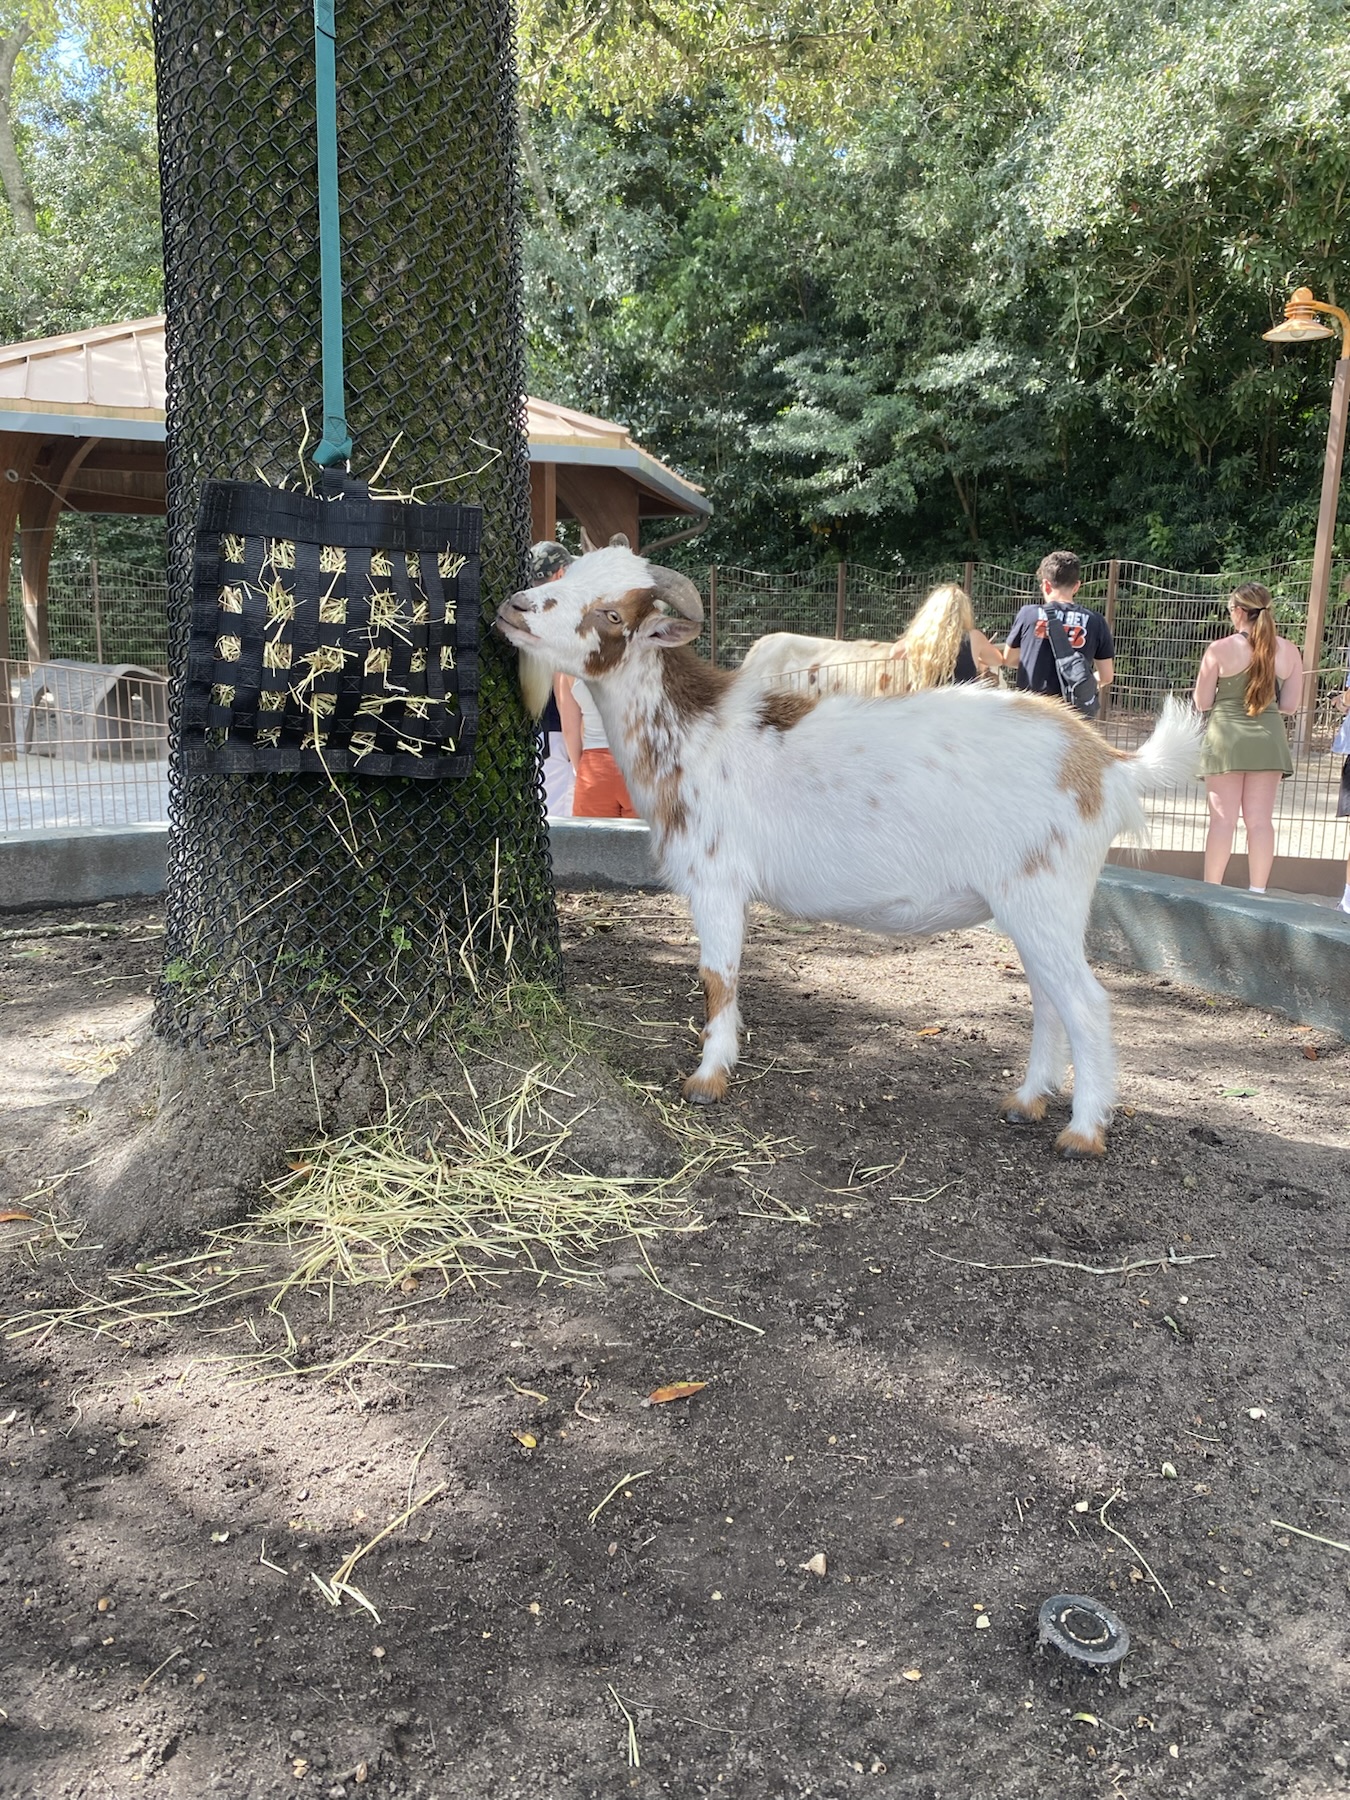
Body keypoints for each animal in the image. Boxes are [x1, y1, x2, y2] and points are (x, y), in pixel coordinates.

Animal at [499, 546, 1202, 1157]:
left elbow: (717, 977)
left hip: (1044, 893)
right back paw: (1026, 1100)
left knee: (1085, 1002)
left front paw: (707, 1078)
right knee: (1048, 1000)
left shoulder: (717, 878)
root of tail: (1106, 765)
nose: (514, 606)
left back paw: (1083, 1132)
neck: (694, 732)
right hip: (1032, 906)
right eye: (572, 576)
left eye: (613, 614)